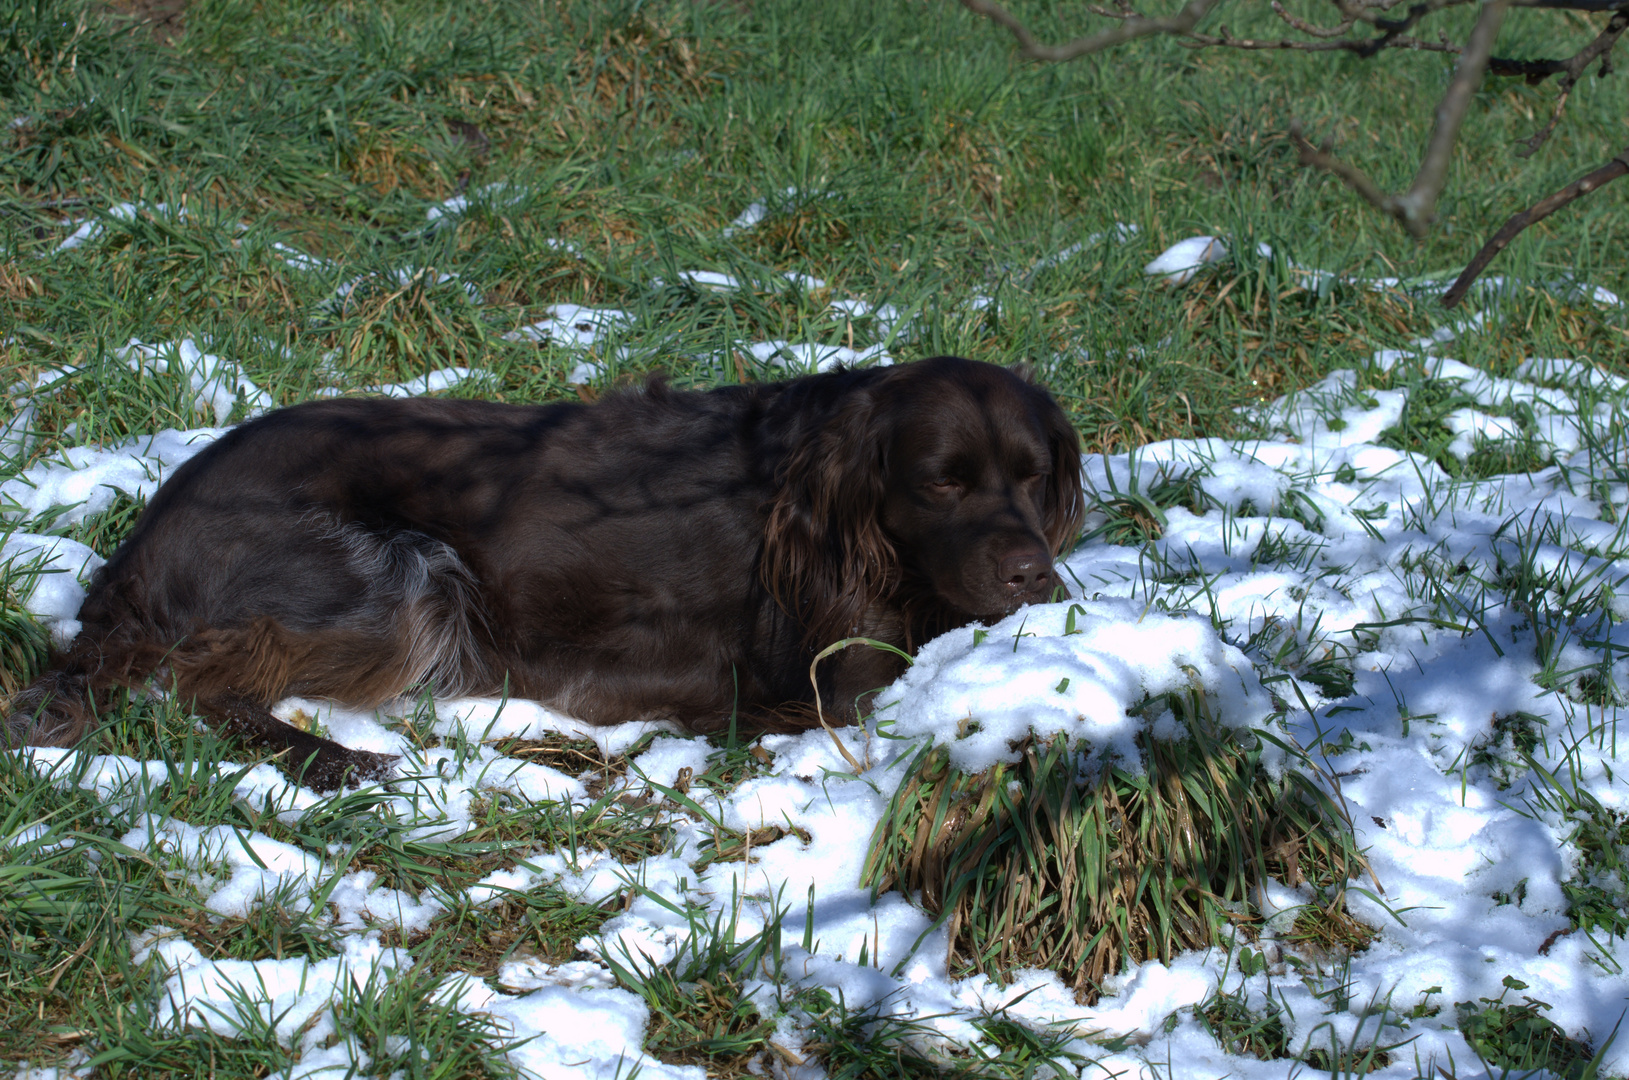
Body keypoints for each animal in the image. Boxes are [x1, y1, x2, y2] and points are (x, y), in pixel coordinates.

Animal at [12, 358, 1088, 791]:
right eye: (942, 482)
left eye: (1034, 476)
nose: (1032, 574)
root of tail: (151, 529)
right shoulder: (830, 682)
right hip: (399, 574)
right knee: (196, 684)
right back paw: (334, 762)